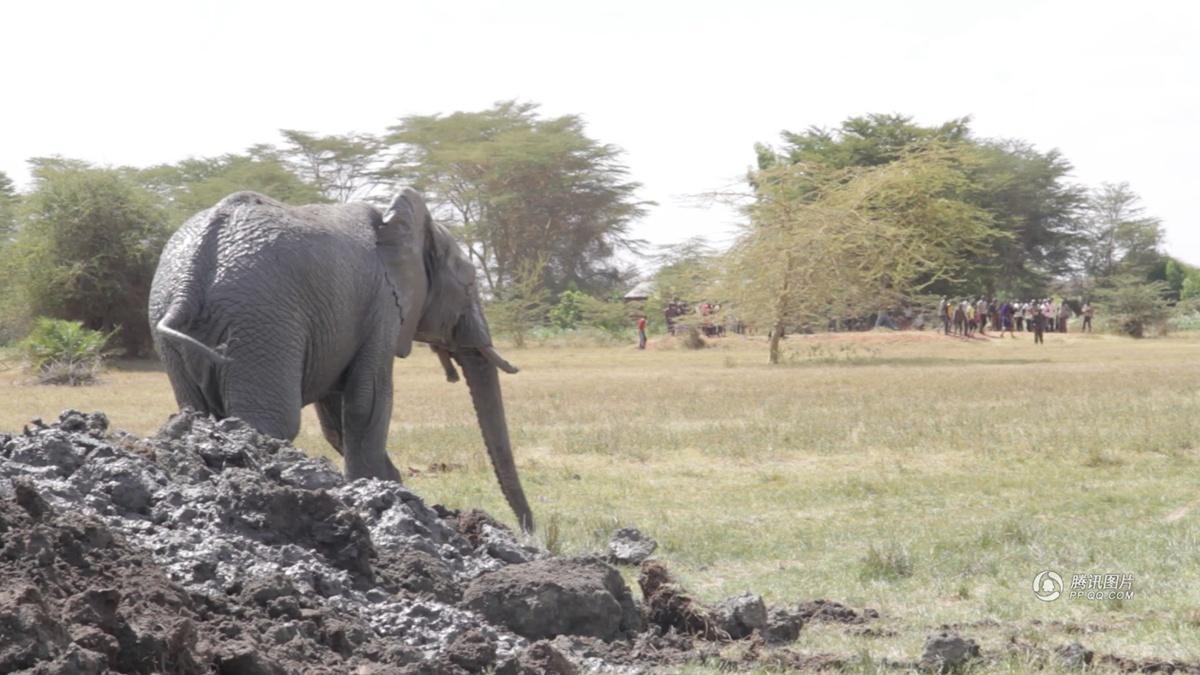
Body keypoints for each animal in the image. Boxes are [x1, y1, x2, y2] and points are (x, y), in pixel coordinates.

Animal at [147, 186, 532, 528]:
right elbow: (368, 402)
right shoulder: (384, 305)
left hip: (171, 322)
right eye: (469, 286)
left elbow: (336, 420)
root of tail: (190, 276)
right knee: (270, 422)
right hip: (262, 321)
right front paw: (382, 491)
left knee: (198, 410)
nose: (530, 531)